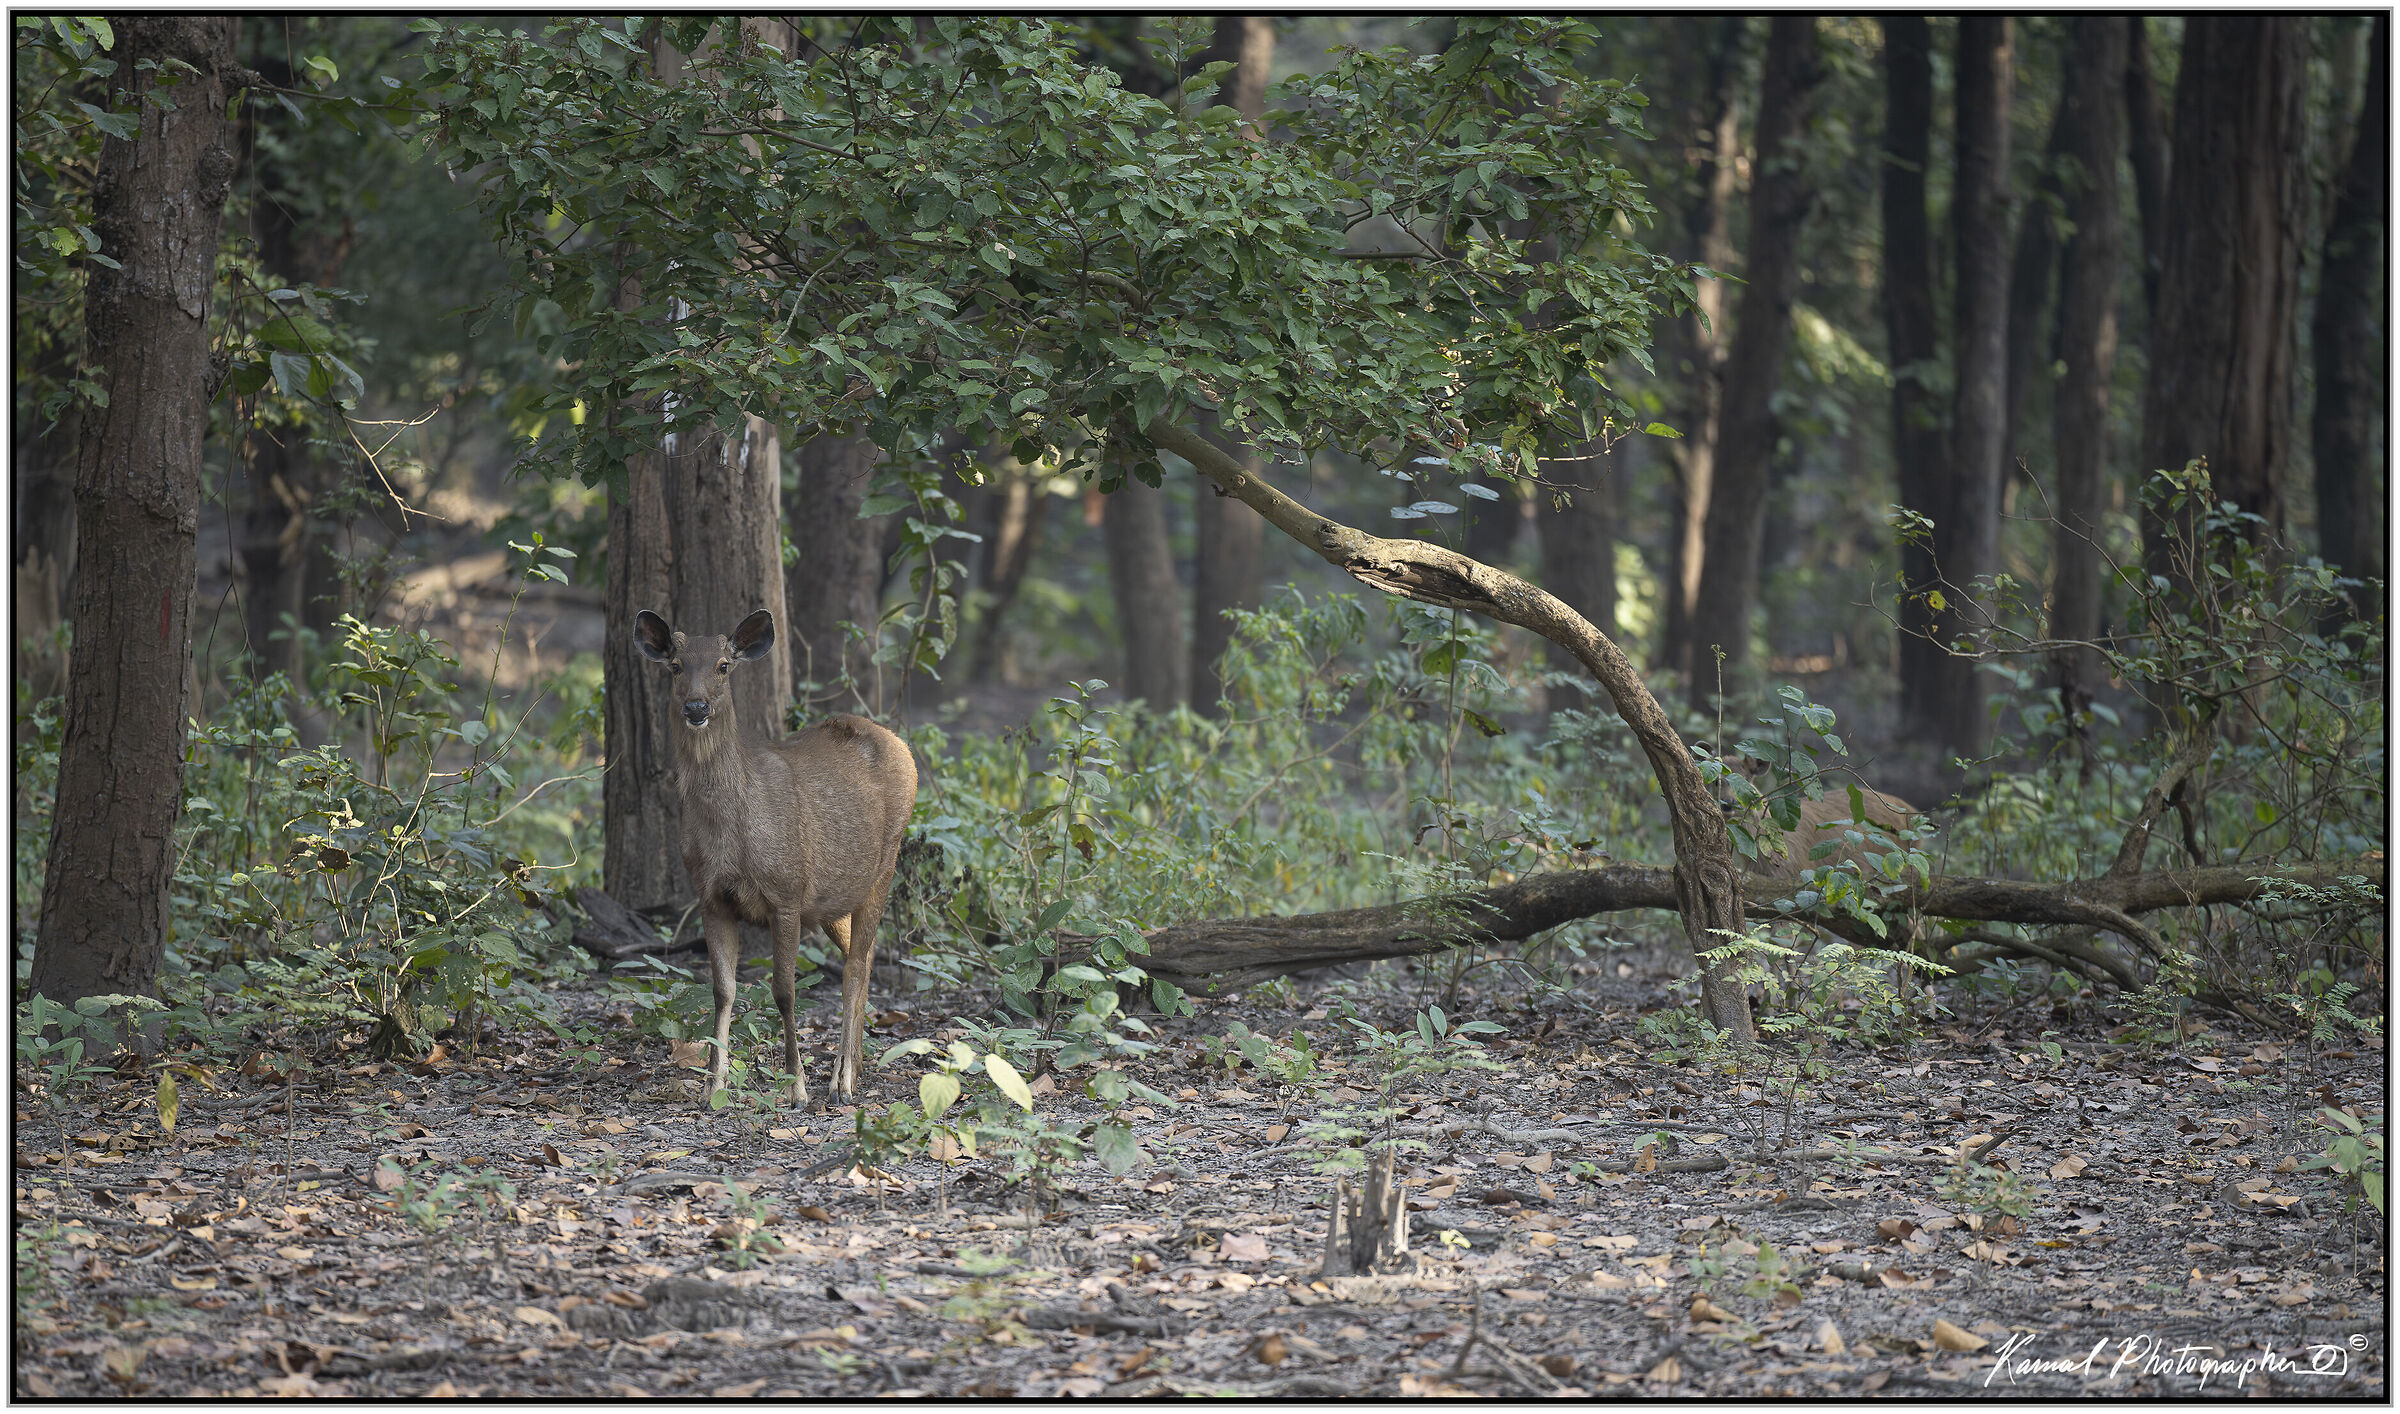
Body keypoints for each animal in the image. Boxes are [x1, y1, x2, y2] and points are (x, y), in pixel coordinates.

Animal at [633, 608, 917, 1105]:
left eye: (723, 666)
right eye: (675, 666)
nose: (696, 708)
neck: (730, 834)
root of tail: (901, 744)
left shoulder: (786, 893)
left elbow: (784, 992)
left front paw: (796, 1086)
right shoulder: (711, 897)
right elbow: (722, 990)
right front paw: (714, 1085)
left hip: (885, 864)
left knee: (856, 966)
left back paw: (842, 1080)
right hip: (832, 898)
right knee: (862, 957)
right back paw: (856, 1066)